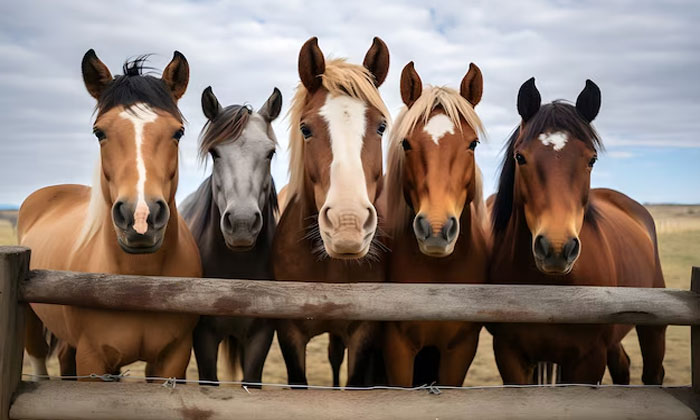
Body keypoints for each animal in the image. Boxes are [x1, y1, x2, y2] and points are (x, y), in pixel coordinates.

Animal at [17, 50, 202, 380]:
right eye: (99, 132)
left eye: (178, 132)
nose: (140, 218)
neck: (142, 283)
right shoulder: (93, 358)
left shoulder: (173, 357)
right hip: (31, 319)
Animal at [486, 77, 668, 386]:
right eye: (520, 157)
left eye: (591, 159)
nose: (557, 249)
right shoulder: (510, 355)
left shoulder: (588, 360)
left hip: (653, 329)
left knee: (652, 373)